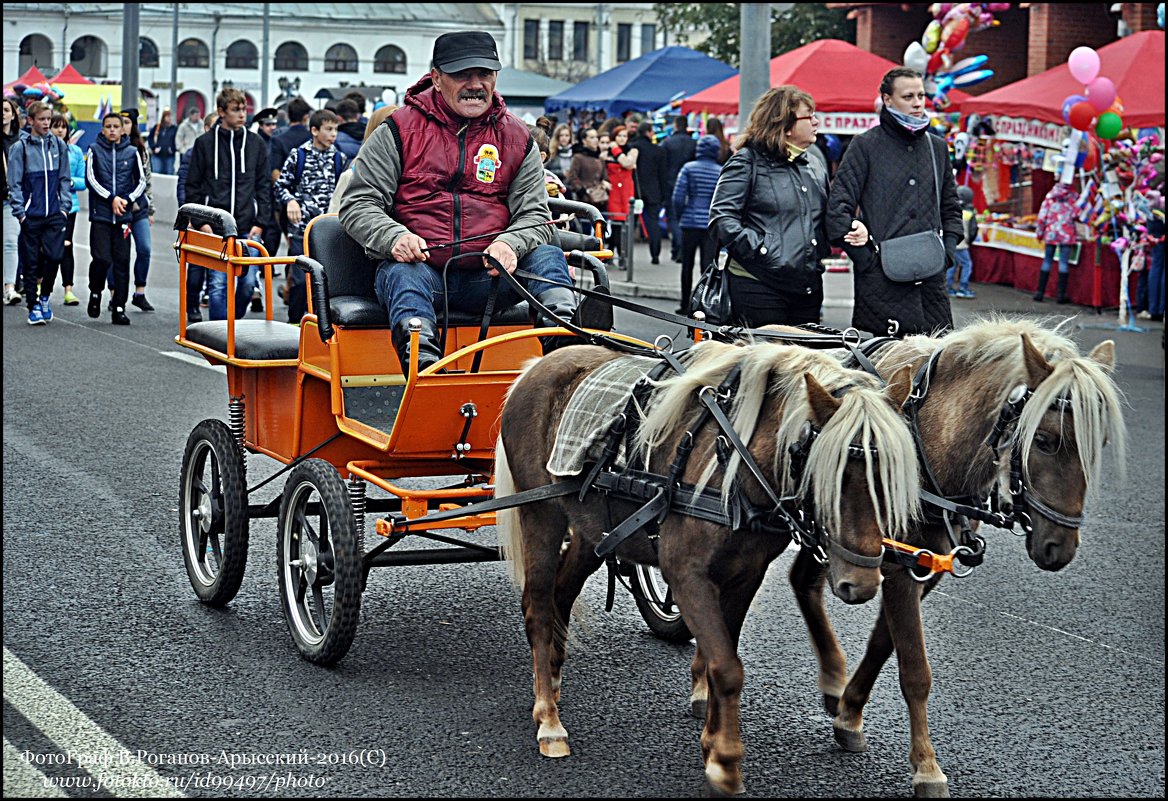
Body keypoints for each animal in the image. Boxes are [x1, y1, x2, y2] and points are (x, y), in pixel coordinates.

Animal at [492, 338, 920, 798]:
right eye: (833, 472)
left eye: (894, 476)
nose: (862, 583)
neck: (736, 466)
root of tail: (538, 365)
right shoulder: (686, 575)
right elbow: (727, 668)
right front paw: (725, 763)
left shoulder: (745, 575)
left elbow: (721, 657)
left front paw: (713, 743)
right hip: (540, 512)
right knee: (538, 608)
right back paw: (549, 720)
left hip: (592, 531)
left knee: (561, 596)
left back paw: (551, 684)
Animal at [789, 317, 1125, 798]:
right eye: (1044, 440)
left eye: (1100, 442)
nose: (1059, 547)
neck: (928, 433)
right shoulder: (896, 567)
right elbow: (915, 669)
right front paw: (927, 767)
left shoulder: (922, 566)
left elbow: (884, 644)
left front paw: (850, 712)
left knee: (803, 580)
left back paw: (834, 680)